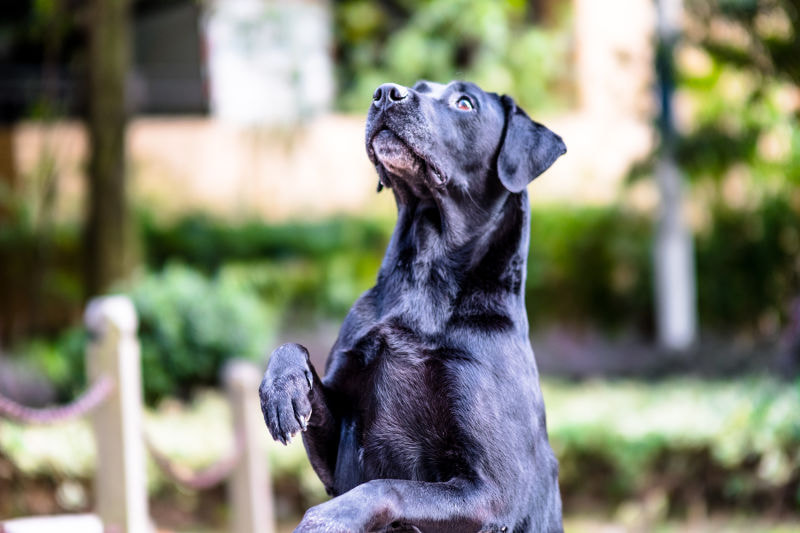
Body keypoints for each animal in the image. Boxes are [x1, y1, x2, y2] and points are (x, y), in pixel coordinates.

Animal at [260, 80, 564, 532]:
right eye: (419, 87)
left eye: (464, 103)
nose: (386, 93)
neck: (424, 278)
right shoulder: (338, 449)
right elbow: (293, 350)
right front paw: (281, 390)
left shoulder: (495, 494)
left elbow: (389, 487)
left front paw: (328, 518)